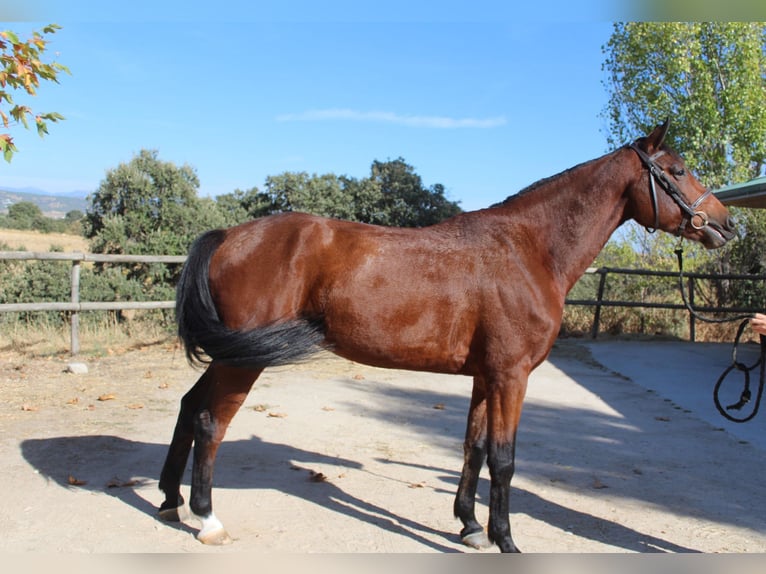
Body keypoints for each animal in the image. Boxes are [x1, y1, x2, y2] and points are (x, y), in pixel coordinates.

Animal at [158, 120, 736, 552]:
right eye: (676, 171)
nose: (728, 226)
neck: (530, 250)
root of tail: (229, 236)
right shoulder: (511, 376)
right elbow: (504, 459)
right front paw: (507, 540)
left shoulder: (486, 376)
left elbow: (473, 448)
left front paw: (470, 527)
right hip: (242, 362)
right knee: (211, 422)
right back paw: (207, 520)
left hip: (232, 355)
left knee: (189, 407)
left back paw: (169, 500)